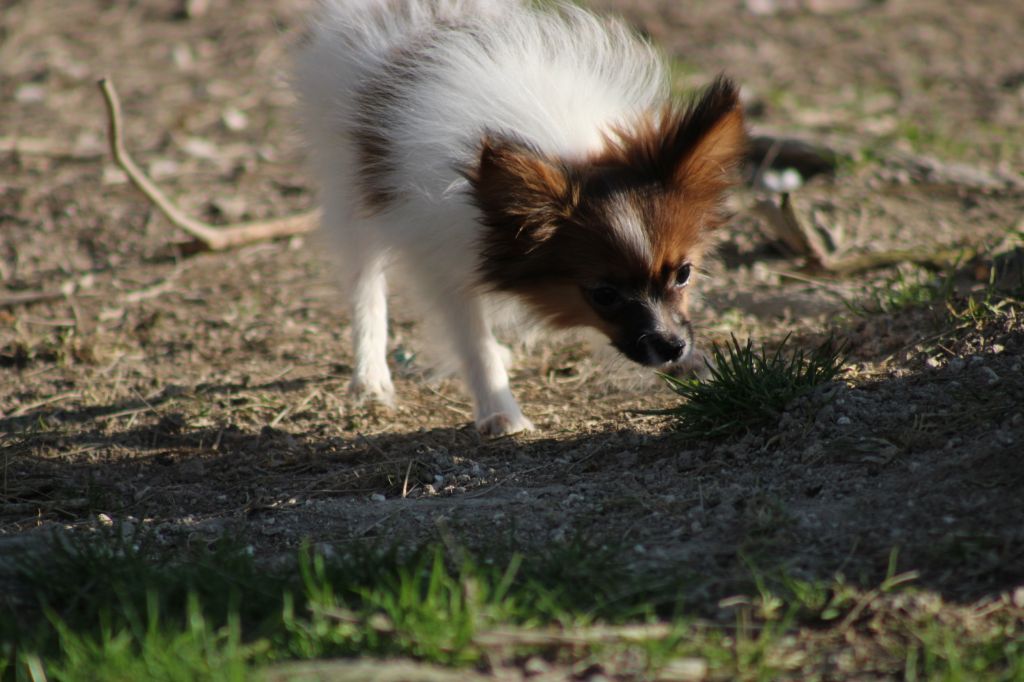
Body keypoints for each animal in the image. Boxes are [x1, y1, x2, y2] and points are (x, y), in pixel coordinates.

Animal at [292, 0, 749, 436]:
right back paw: (369, 377)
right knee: (364, 281)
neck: (559, 154)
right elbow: (472, 341)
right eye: (603, 294)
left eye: (684, 273)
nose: (672, 347)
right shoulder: (443, 262)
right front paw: (500, 412)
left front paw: (694, 365)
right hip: (348, 188)